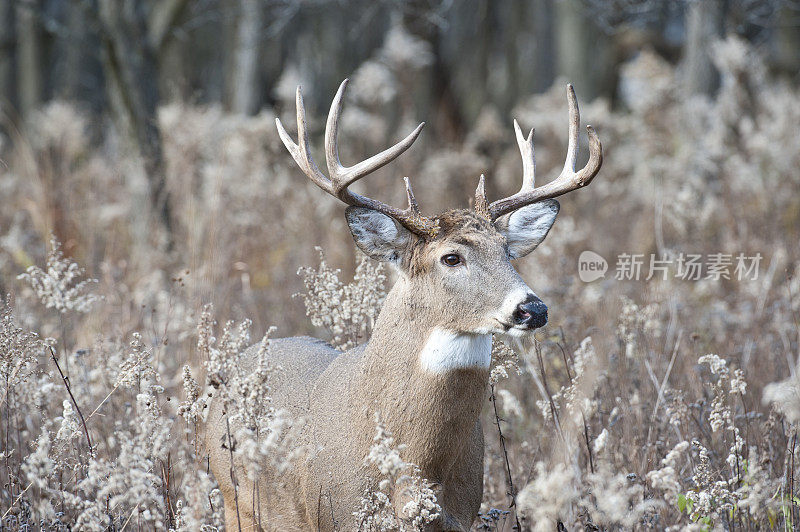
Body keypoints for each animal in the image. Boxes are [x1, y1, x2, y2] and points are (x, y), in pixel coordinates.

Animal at [203, 80, 604, 532]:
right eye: (451, 258)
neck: (416, 467)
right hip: (236, 499)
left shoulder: (462, 514)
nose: (533, 309)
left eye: (507, 251)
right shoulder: (335, 513)